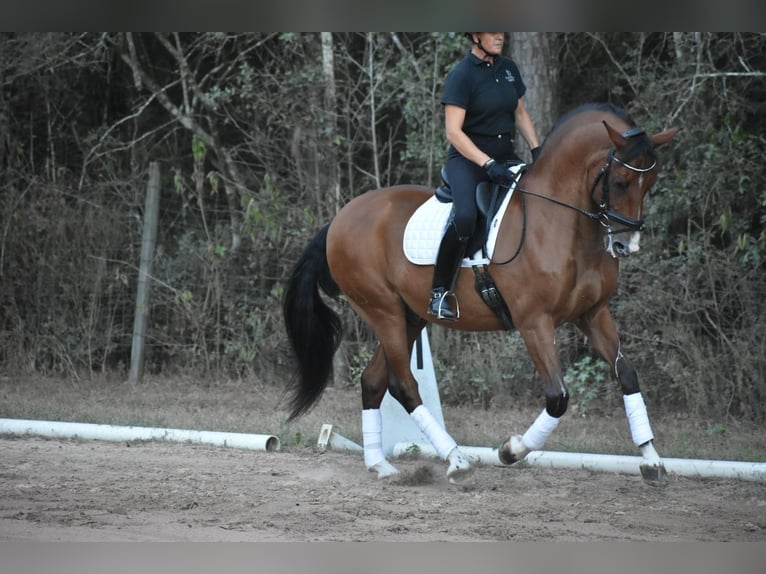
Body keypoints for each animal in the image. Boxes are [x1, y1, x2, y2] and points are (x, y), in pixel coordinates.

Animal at [282, 103, 680, 486]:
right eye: (620, 181)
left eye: (650, 183)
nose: (625, 245)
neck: (560, 222)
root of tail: (339, 220)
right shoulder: (534, 322)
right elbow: (558, 398)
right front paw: (511, 450)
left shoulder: (593, 313)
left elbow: (627, 375)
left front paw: (652, 461)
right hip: (383, 311)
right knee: (404, 384)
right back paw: (456, 461)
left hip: (409, 316)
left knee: (375, 381)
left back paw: (381, 465)